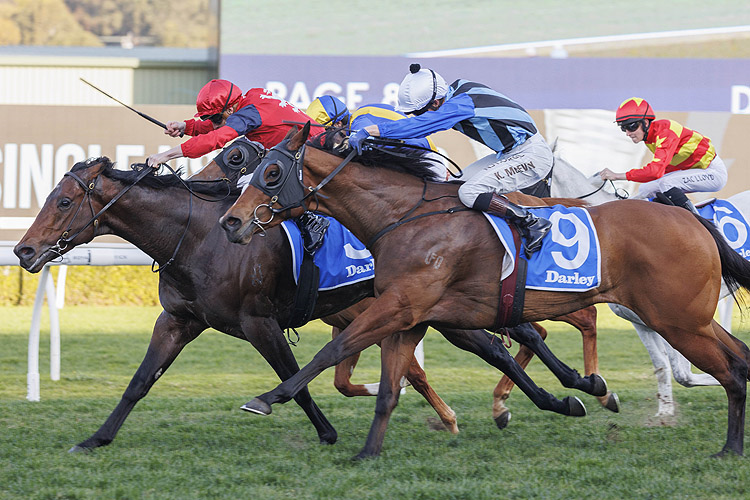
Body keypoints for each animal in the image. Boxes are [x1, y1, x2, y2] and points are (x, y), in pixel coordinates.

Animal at [14, 146, 608, 450]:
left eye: (62, 200)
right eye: (48, 196)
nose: (23, 250)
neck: (199, 236)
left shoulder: (258, 321)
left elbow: (292, 376)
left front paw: (324, 430)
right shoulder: (178, 320)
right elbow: (139, 383)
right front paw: (96, 438)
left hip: (433, 308)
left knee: (509, 342)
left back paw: (574, 390)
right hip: (437, 311)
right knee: (498, 346)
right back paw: (559, 397)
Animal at [220, 124, 750, 458]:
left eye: (271, 173)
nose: (231, 222)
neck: (403, 215)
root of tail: (691, 219)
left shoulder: (398, 306)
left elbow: (333, 350)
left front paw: (268, 396)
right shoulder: (413, 315)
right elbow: (388, 383)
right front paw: (369, 448)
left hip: (678, 321)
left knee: (727, 370)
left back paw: (727, 447)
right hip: (686, 319)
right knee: (738, 358)